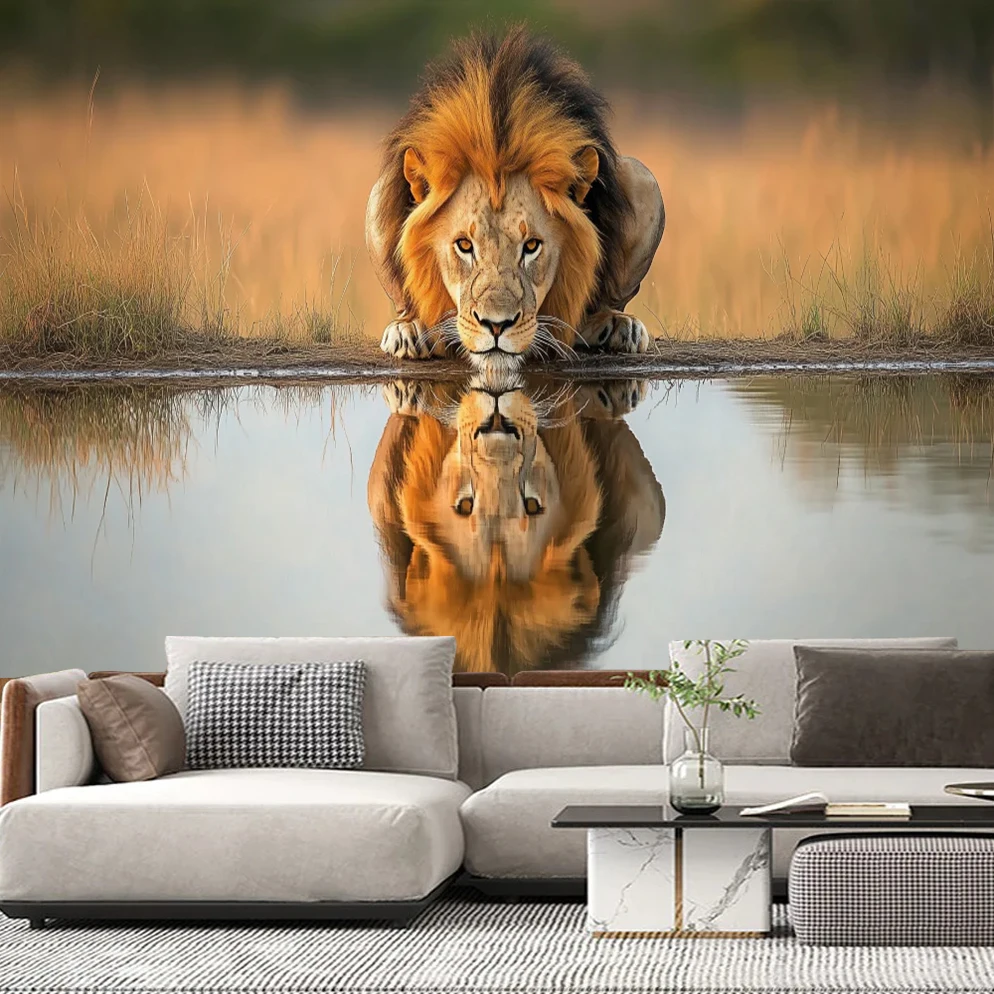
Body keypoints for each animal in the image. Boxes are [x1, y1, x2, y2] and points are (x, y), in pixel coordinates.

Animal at [366, 28, 666, 369]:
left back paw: (616, 325)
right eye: (464, 245)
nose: (496, 326)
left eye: (532, 245)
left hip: (644, 178)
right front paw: (412, 330)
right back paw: (409, 329)